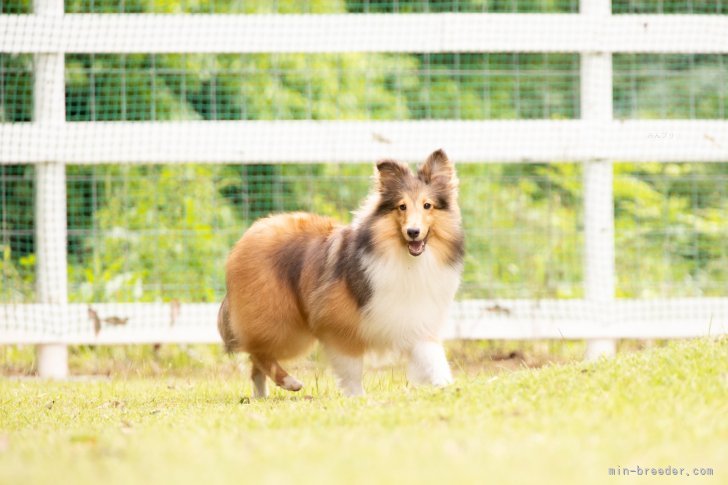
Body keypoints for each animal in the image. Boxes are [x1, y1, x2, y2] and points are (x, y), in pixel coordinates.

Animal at [219, 149, 464, 396]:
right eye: (401, 206)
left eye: (427, 205)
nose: (413, 232)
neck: (405, 259)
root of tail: (248, 234)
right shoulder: (338, 324)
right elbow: (351, 368)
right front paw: (356, 396)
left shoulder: (416, 322)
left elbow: (434, 360)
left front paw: (448, 387)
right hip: (285, 326)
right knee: (257, 352)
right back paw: (290, 382)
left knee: (256, 363)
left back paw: (262, 396)